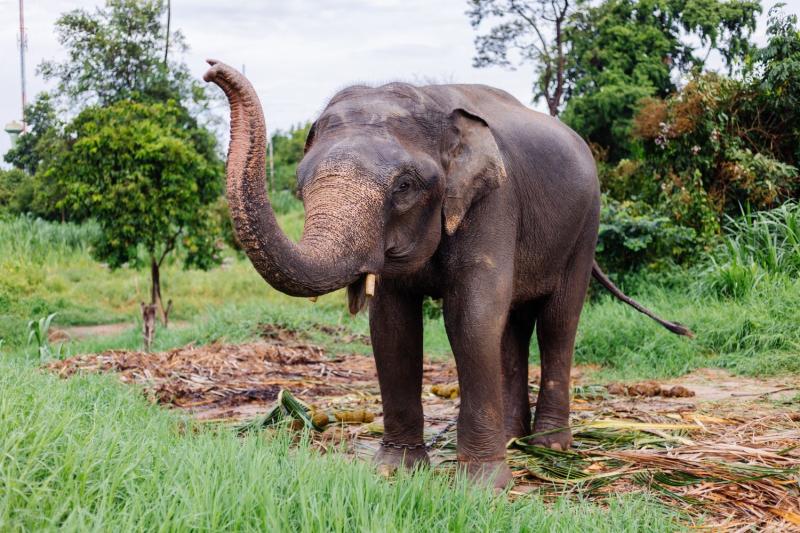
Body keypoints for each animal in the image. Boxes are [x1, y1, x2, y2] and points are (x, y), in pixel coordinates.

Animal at [203, 60, 692, 488]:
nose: (211, 70)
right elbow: (392, 327)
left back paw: (549, 446)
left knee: (557, 321)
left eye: (404, 187)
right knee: (512, 327)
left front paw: (483, 487)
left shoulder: (494, 201)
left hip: (586, 224)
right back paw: (514, 437)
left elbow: (471, 318)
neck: (433, 102)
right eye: (300, 186)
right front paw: (395, 471)